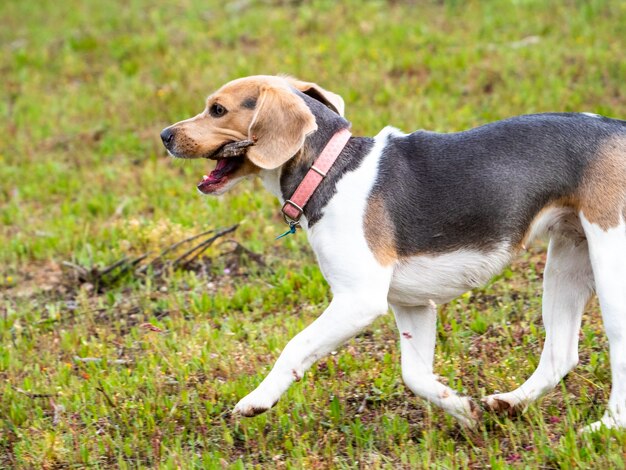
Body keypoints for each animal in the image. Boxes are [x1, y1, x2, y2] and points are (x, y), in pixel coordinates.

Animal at [161, 75, 624, 432]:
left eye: (217, 109)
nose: (165, 135)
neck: (330, 171)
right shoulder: (413, 304)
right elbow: (415, 376)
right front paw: (464, 410)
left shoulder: (358, 301)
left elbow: (295, 346)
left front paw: (257, 399)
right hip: (567, 259)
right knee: (561, 353)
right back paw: (508, 403)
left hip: (610, 266)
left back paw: (606, 427)